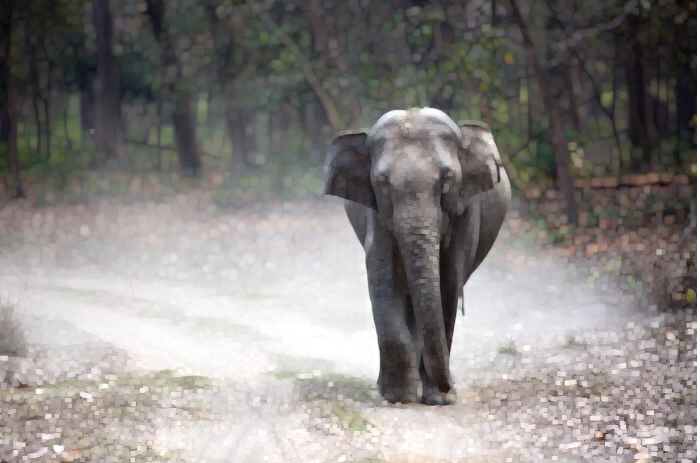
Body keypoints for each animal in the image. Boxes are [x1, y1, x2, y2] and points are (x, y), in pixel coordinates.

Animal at [323, 107, 512, 406]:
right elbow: (382, 277)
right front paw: (398, 397)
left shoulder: (465, 212)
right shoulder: (375, 214)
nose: (451, 383)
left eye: (447, 180)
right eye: (382, 183)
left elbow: (448, 285)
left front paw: (439, 399)